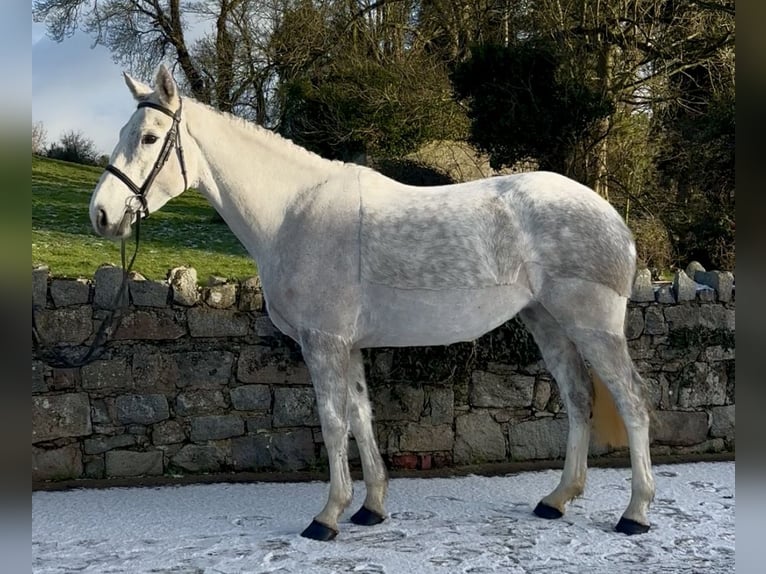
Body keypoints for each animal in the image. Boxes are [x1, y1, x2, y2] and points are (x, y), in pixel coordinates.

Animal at [89, 65, 654, 541]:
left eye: (150, 137)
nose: (101, 214)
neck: (293, 211)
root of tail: (613, 217)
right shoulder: (350, 345)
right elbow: (362, 417)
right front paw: (371, 508)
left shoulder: (323, 343)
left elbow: (333, 422)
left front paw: (327, 517)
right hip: (548, 323)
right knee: (578, 398)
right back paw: (557, 500)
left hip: (593, 326)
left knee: (632, 400)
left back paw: (635, 513)